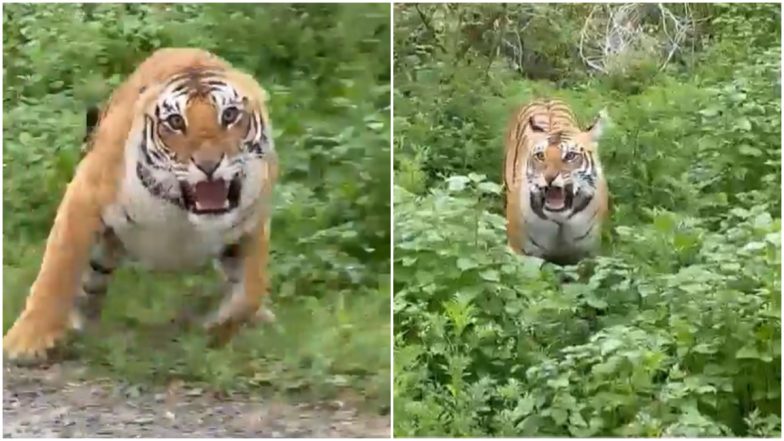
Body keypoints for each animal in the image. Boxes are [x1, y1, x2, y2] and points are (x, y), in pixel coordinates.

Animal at [4, 48, 278, 362]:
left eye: (230, 115)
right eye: (175, 122)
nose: (208, 164)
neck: (182, 213)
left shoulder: (253, 221)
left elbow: (253, 288)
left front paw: (219, 326)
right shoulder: (85, 195)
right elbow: (57, 271)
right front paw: (26, 341)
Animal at [503, 99, 609, 265]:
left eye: (570, 156)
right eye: (540, 156)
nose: (549, 177)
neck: (560, 219)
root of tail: (544, 98)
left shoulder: (586, 254)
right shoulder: (523, 254)